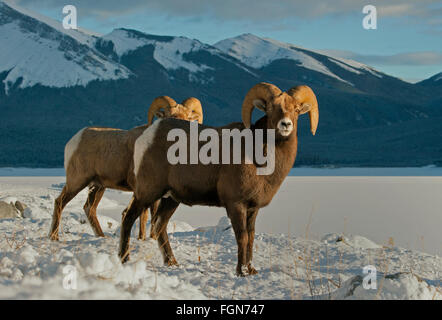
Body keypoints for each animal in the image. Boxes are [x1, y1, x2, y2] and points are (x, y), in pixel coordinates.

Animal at [47, 96, 203, 241]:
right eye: (170, 116)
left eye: (188, 117)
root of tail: (74, 140)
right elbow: (144, 215)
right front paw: (142, 239)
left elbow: (153, 216)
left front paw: (151, 238)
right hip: (77, 181)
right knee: (60, 202)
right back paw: (54, 237)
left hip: (98, 186)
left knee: (89, 208)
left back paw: (102, 237)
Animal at [117, 82, 318, 276]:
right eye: (270, 107)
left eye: (296, 109)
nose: (286, 124)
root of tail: (147, 137)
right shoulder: (236, 204)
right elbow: (242, 236)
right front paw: (241, 271)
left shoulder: (253, 208)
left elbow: (251, 237)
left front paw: (251, 270)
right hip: (148, 192)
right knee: (129, 217)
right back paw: (124, 259)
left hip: (170, 199)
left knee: (159, 225)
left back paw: (172, 262)